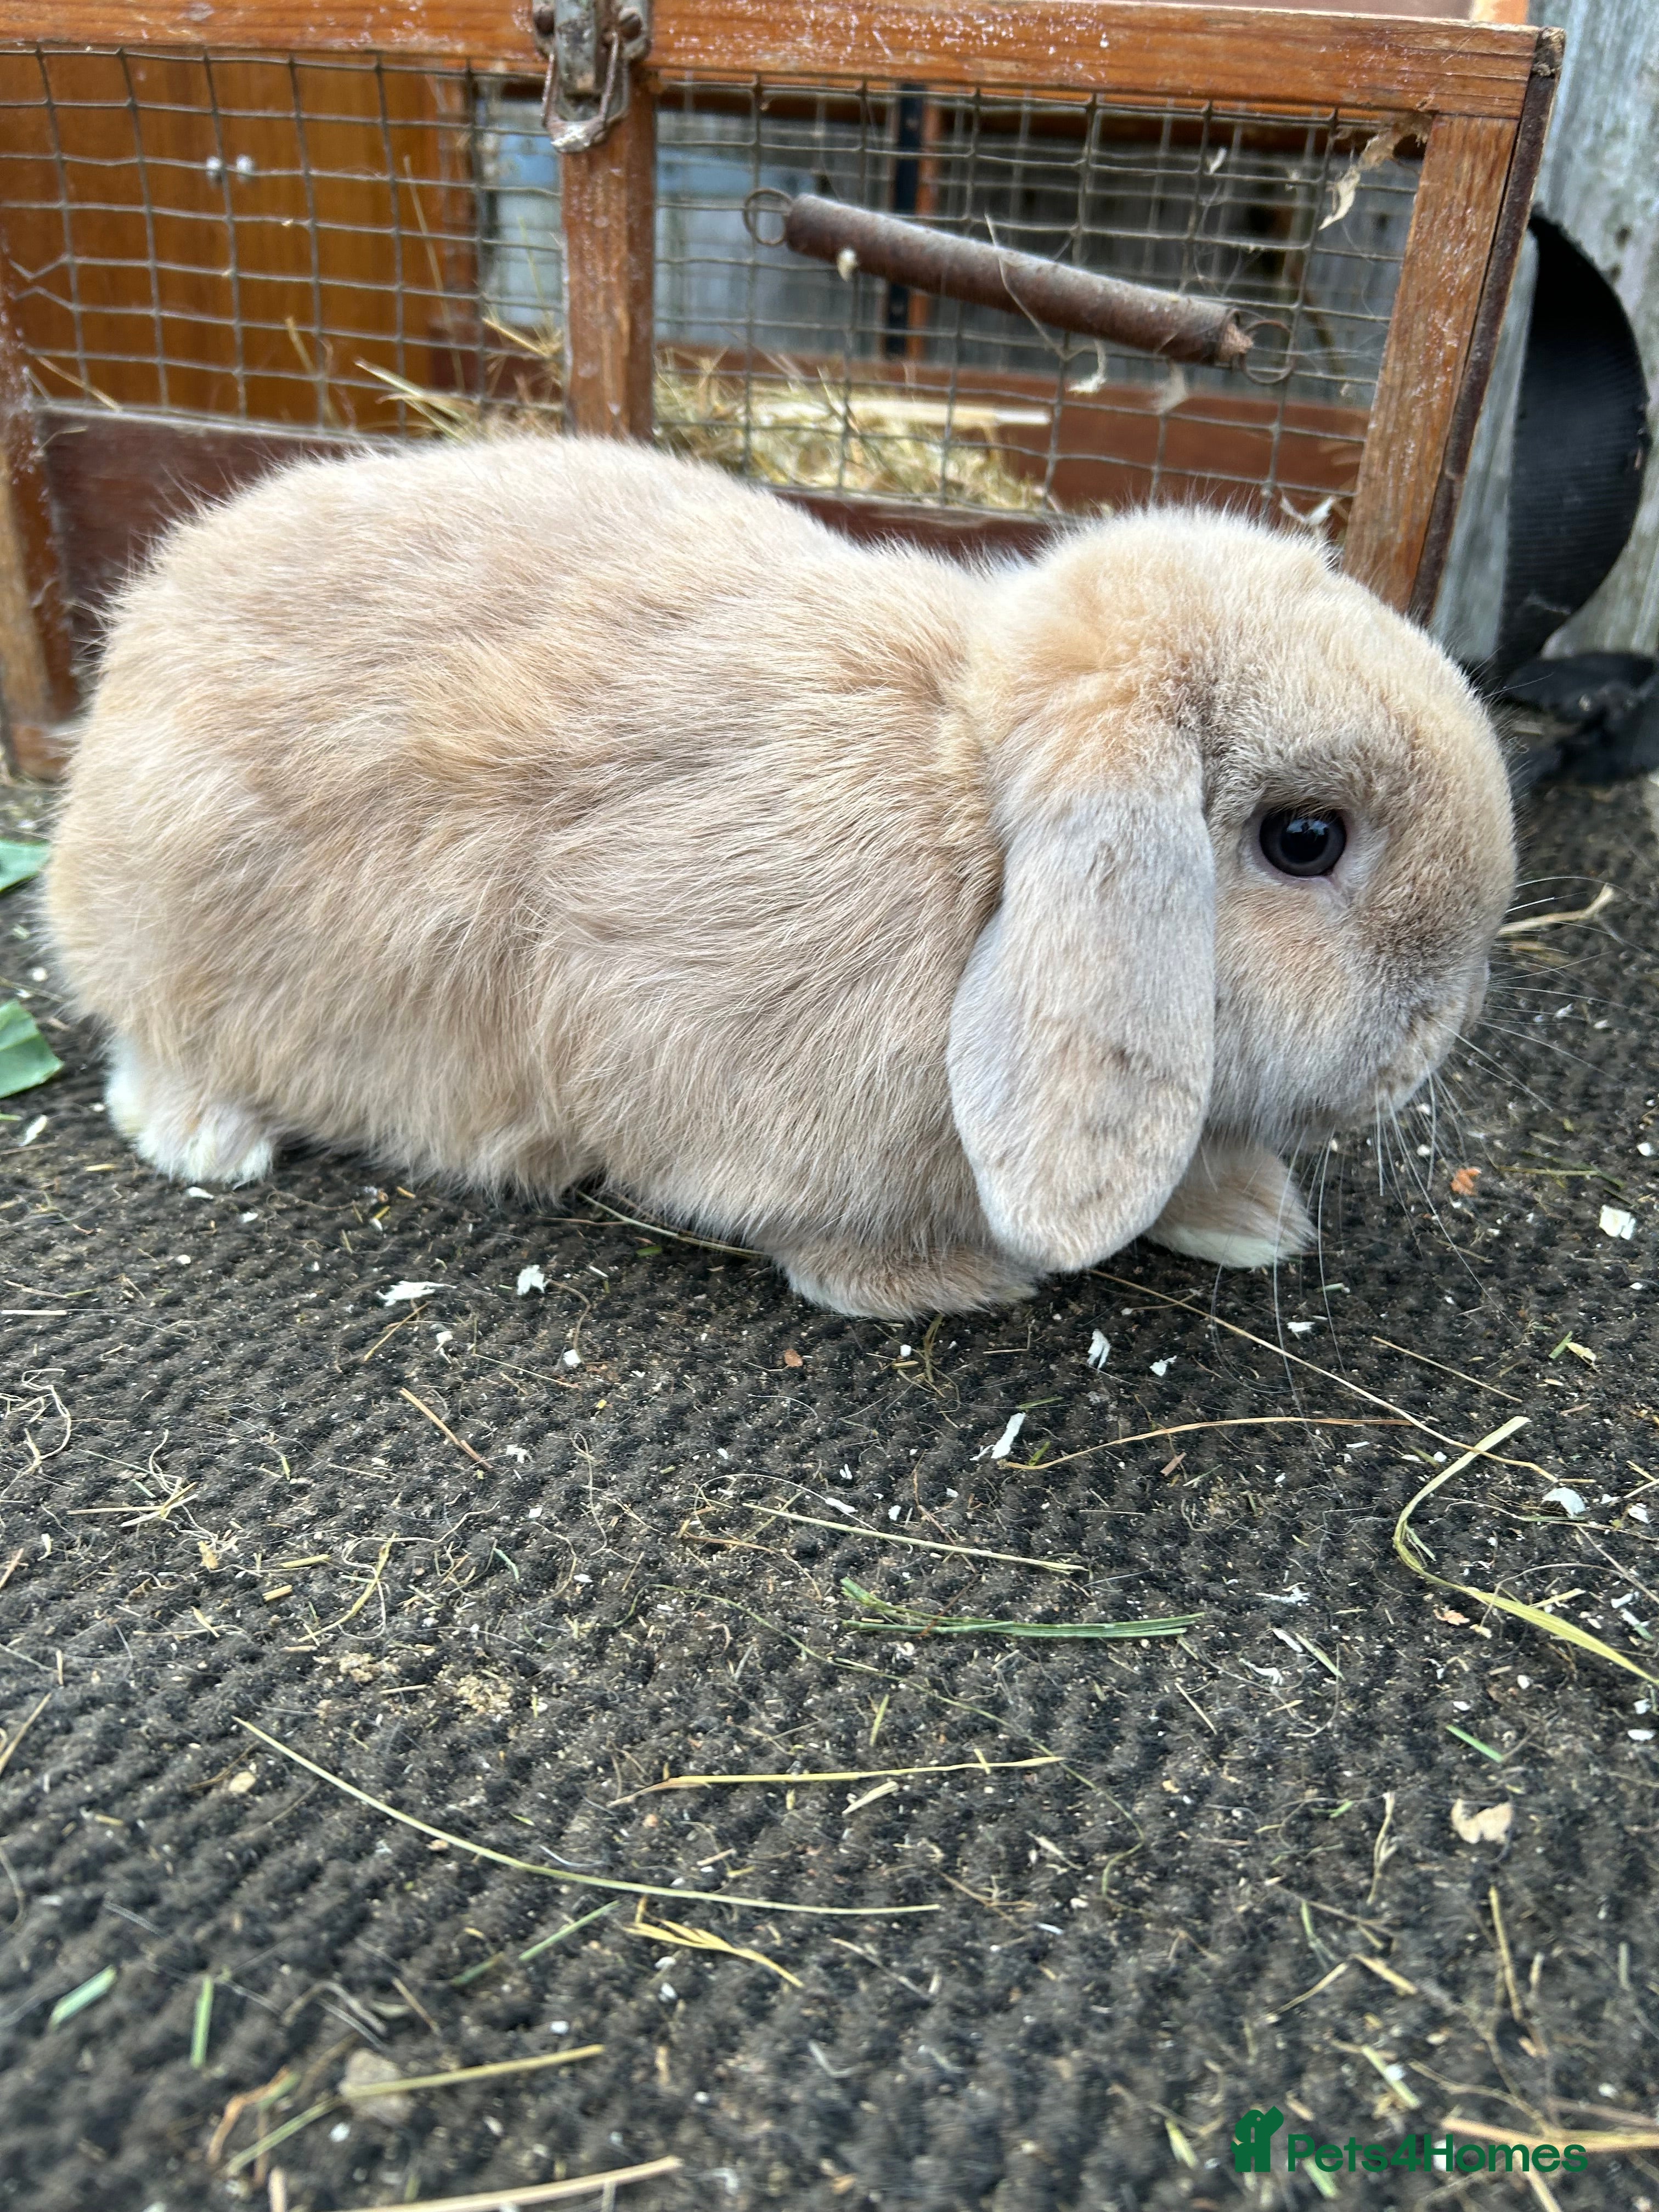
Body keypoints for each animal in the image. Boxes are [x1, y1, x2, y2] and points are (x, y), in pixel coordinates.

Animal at [45, 436, 1514, 1320]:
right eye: (1305, 838)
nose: (1443, 1029)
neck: (971, 829)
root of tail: (138, 639)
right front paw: (954, 1280)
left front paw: (1254, 1221)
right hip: (181, 925)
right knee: (147, 1039)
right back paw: (206, 1141)